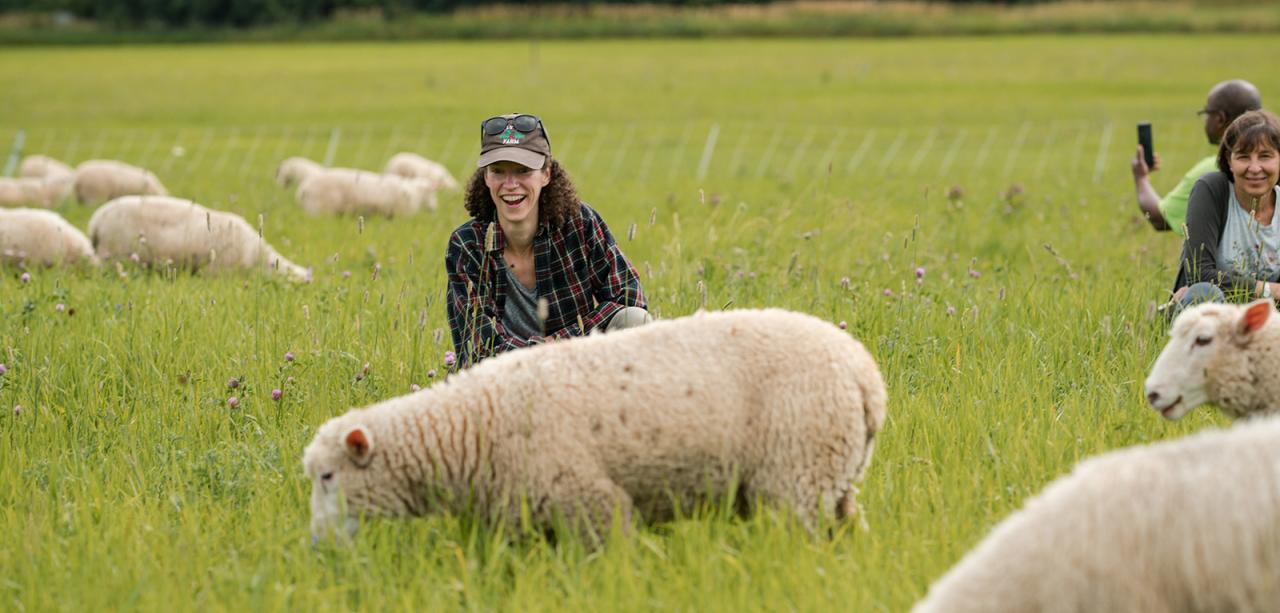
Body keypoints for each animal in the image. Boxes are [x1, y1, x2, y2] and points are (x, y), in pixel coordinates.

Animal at [295, 167, 440, 218]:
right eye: (431, 193)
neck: (415, 192)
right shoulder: (399, 215)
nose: (434, 208)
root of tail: (303, 188)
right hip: (319, 209)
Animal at [303, 309, 890, 545]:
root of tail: (866, 380)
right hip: (834, 479)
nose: (317, 546)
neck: (469, 430)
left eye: (329, 477)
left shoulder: (590, 502)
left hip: (796, 476)